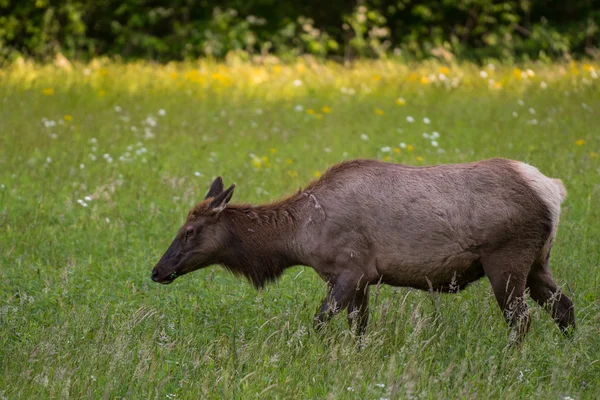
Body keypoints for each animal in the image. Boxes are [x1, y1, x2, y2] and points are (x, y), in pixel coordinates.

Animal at [152, 158, 576, 342]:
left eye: (189, 231)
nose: (157, 271)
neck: (299, 238)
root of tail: (553, 191)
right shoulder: (361, 280)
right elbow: (359, 328)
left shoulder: (350, 270)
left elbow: (320, 321)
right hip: (537, 262)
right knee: (564, 307)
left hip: (506, 260)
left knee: (521, 319)